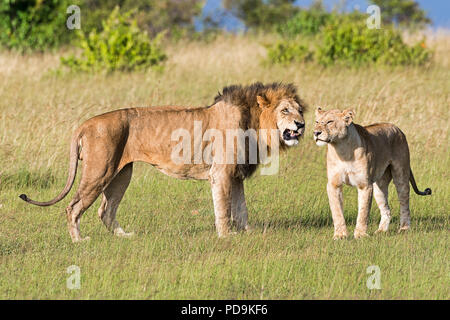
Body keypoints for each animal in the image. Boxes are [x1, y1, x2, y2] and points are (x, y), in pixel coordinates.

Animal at [19, 81, 308, 241]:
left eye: (300, 110)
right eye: (285, 110)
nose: (302, 125)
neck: (255, 125)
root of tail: (85, 124)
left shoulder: (236, 175)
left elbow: (241, 208)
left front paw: (248, 232)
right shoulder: (221, 173)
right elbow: (224, 209)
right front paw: (227, 236)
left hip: (121, 173)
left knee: (106, 210)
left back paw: (124, 237)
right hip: (99, 171)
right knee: (73, 207)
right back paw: (79, 241)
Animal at [312, 107, 432, 240]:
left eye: (330, 122)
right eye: (317, 122)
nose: (316, 133)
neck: (342, 150)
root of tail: (397, 128)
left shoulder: (364, 185)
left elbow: (363, 212)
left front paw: (360, 235)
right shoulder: (334, 184)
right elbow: (337, 211)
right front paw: (340, 235)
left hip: (401, 175)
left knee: (404, 203)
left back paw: (404, 228)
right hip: (379, 186)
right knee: (386, 209)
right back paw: (381, 231)